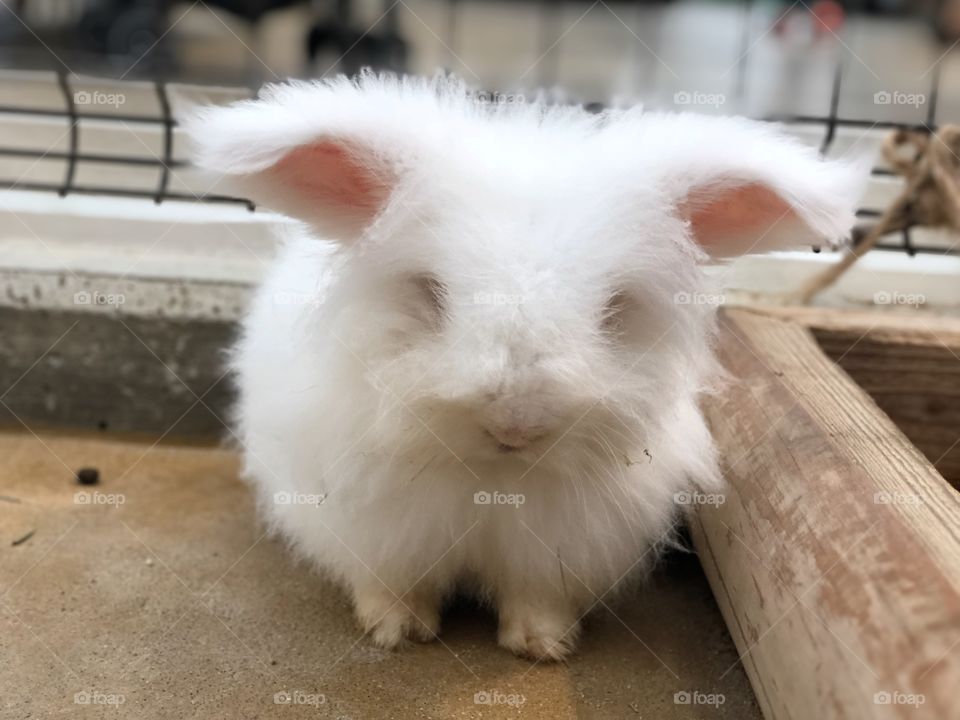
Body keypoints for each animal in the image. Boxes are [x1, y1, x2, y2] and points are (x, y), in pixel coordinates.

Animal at [186, 72, 865, 661]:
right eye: (432, 292)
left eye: (613, 308)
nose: (515, 425)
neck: (494, 479)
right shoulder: (376, 529)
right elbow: (393, 582)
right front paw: (397, 630)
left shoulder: (559, 550)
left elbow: (536, 596)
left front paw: (543, 646)